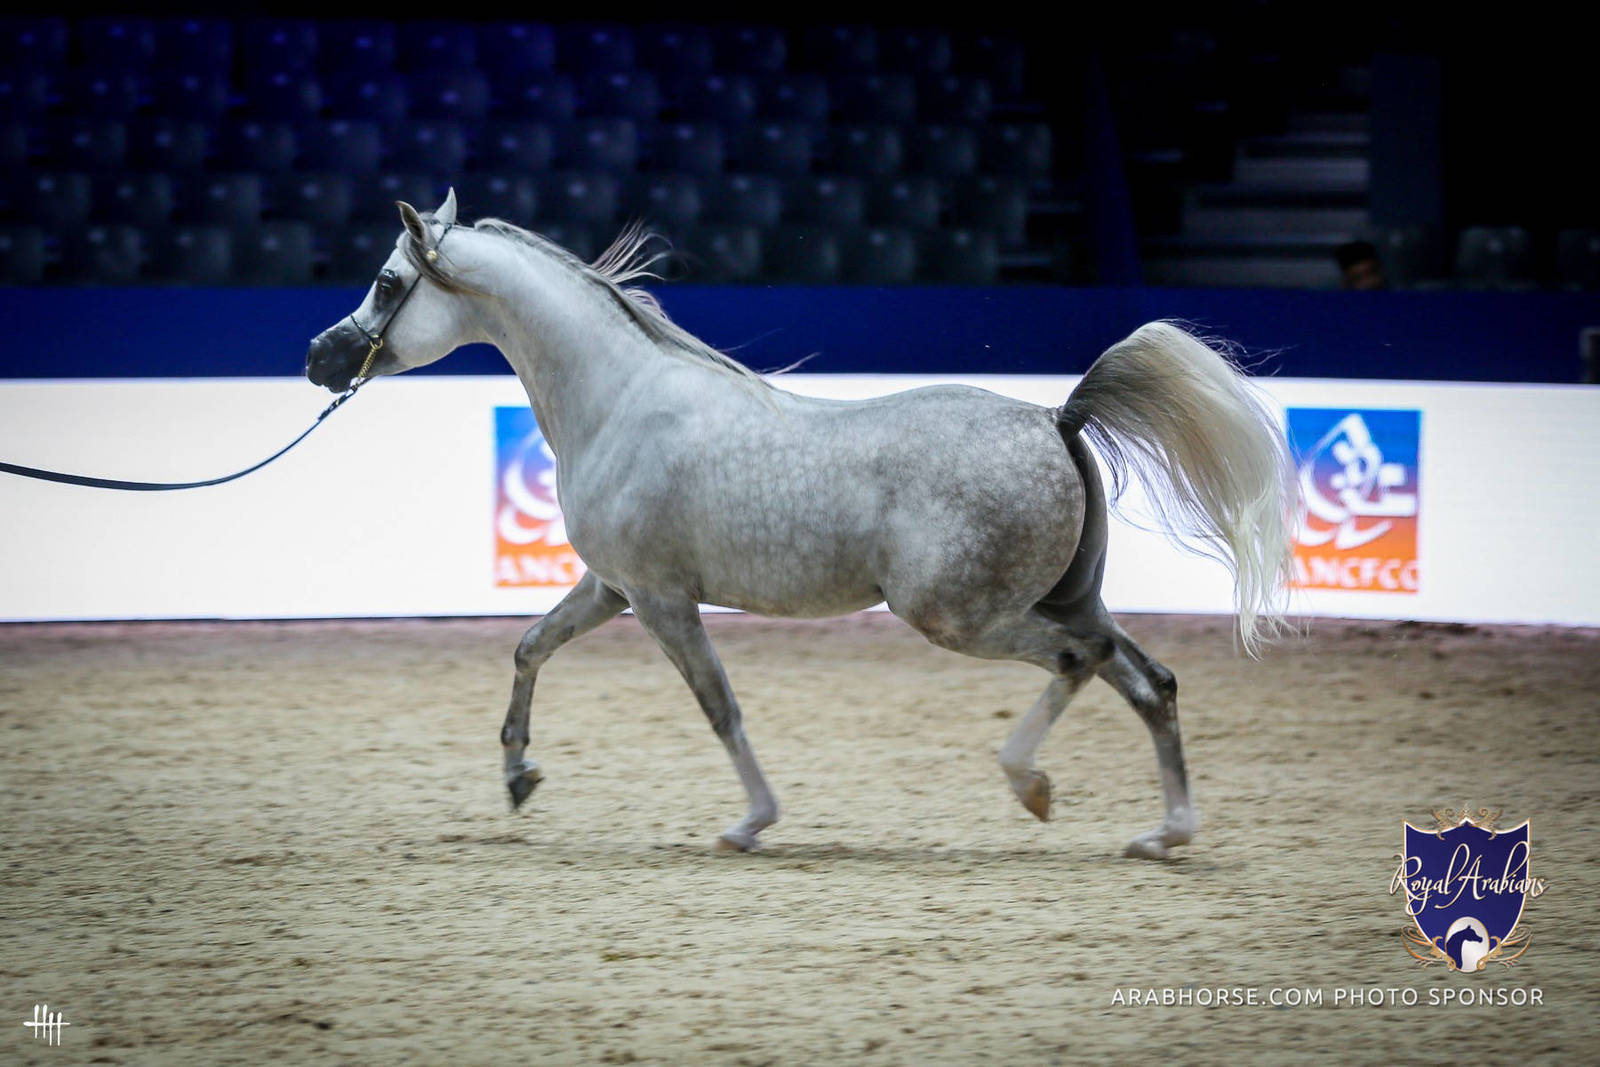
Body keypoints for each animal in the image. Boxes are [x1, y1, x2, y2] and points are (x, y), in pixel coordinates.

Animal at [306, 189, 1294, 859]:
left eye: (388, 280)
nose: (321, 357)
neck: (620, 400)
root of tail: (1058, 418)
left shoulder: (662, 601)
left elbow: (718, 705)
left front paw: (751, 822)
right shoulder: (613, 589)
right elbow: (529, 647)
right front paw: (519, 776)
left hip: (961, 615)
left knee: (1078, 663)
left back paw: (1033, 784)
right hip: (1064, 597)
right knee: (1150, 681)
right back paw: (1165, 833)